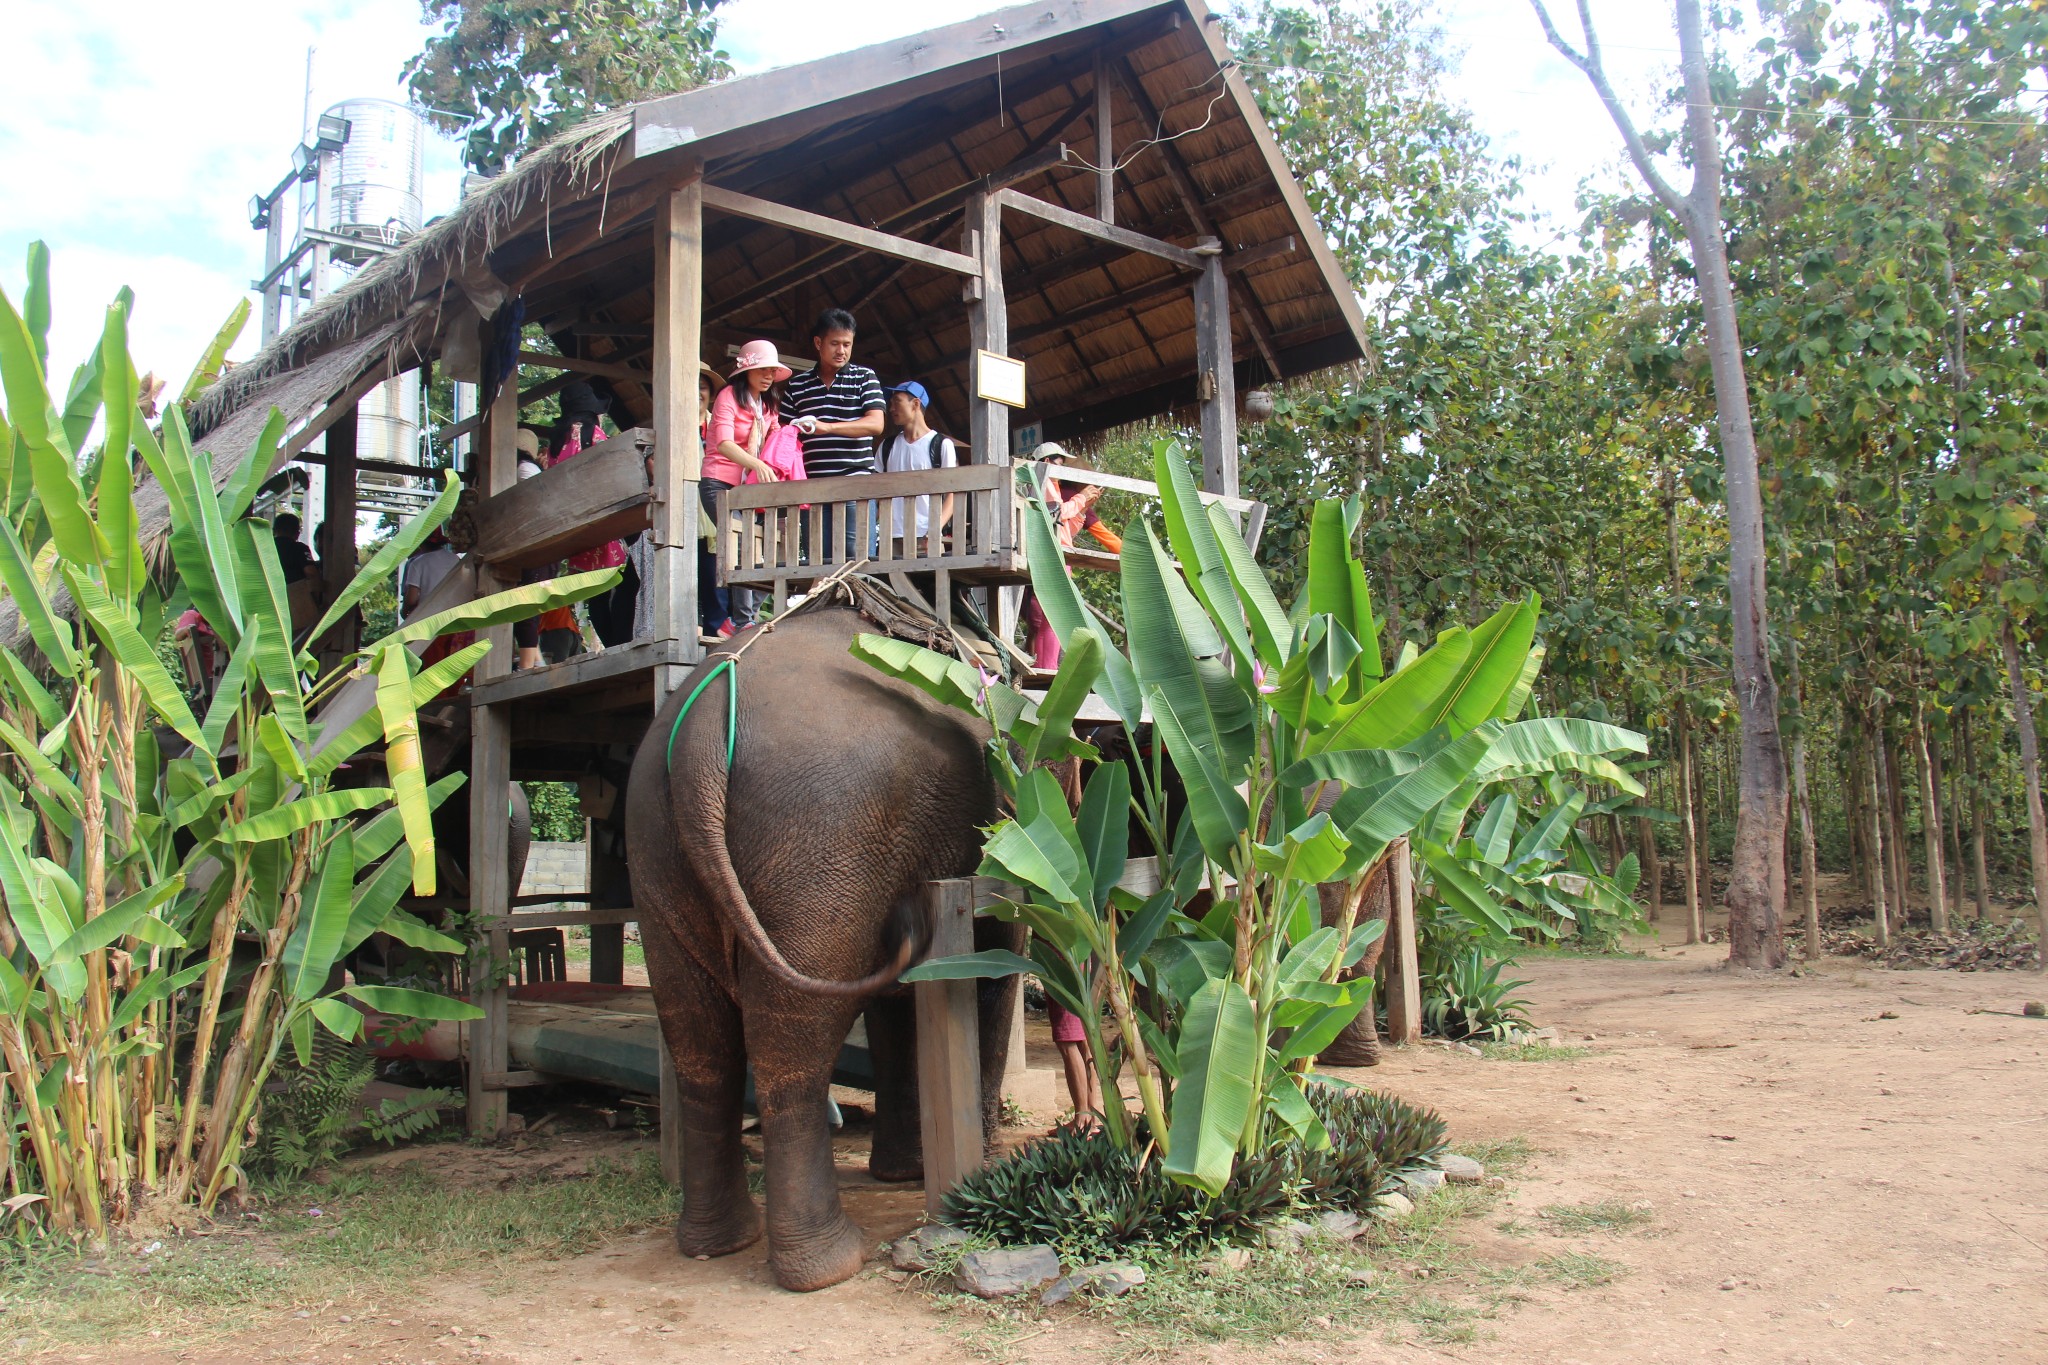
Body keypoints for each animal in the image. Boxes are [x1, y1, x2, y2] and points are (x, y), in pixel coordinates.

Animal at [614, 605, 1015, 1293]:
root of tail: (699, 735)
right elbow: (995, 968)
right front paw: (977, 1170)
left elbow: (895, 1008)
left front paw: (902, 1175)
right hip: (822, 837)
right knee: (791, 1042)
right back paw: (826, 1265)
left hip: (659, 847)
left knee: (699, 1040)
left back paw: (715, 1244)